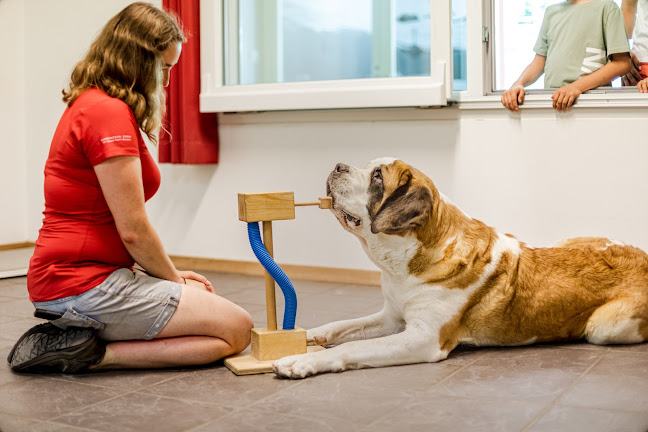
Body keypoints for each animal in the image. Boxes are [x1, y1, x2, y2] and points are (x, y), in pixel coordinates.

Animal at [272, 158, 648, 378]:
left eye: (377, 176)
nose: (338, 165)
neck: (407, 258)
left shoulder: (423, 338)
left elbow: (353, 348)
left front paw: (301, 361)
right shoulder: (391, 318)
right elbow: (340, 327)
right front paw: (299, 339)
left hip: (604, 327)